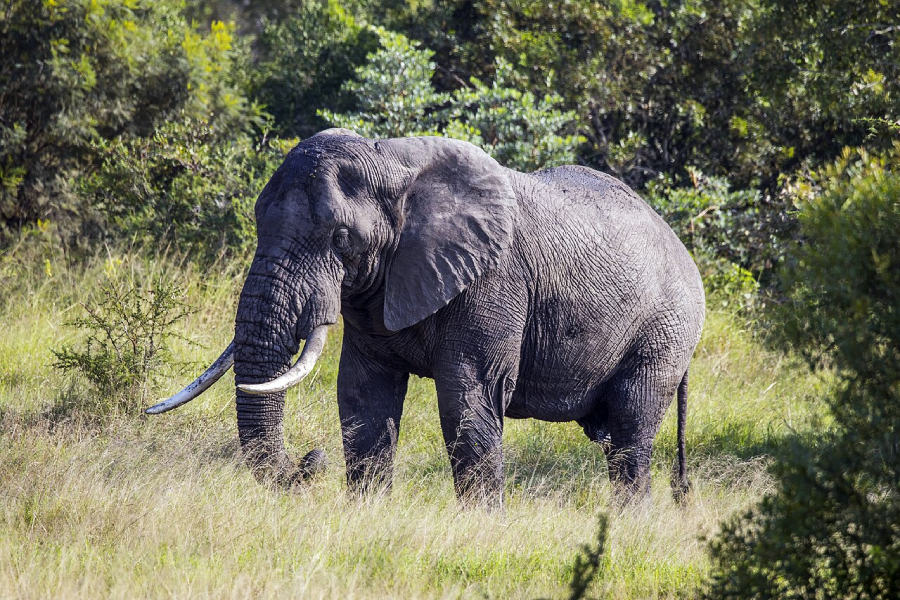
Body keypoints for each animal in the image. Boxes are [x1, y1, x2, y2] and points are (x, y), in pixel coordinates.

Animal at [147, 129, 705, 506]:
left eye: (340, 238)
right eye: (257, 222)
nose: (310, 459)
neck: (392, 164)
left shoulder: (492, 282)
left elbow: (467, 400)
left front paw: (483, 530)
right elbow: (363, 397)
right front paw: (366, 515)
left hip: (665, 332)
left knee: (630, 435)